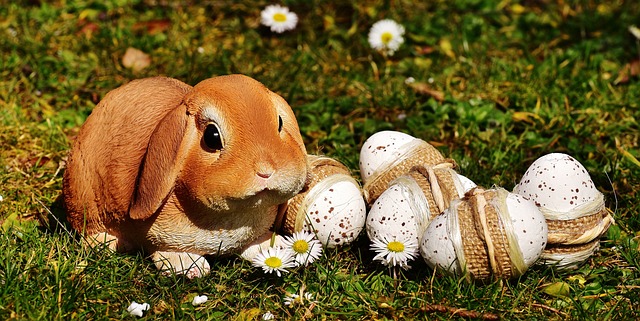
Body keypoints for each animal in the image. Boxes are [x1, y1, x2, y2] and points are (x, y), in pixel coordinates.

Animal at [63, 74, 310, 276]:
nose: (266, 171)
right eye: (212, 136)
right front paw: (190, 267)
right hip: (83, 198)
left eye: (280, 123)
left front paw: (277, 246)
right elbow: (165, 250)